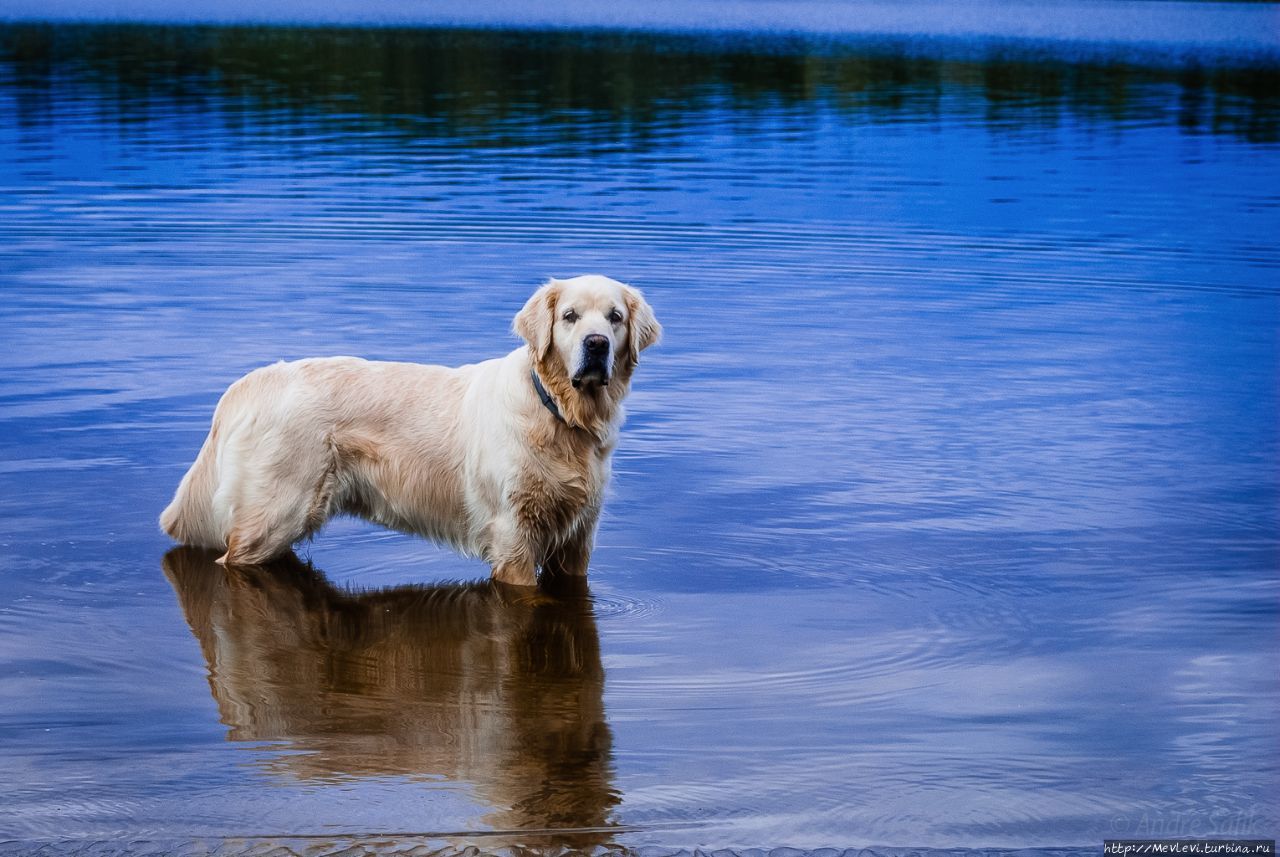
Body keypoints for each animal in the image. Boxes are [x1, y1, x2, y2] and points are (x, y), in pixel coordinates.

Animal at [158, 278, 660, 588]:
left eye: (614, 317)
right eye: (570, 316)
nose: (596, 345)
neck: (560, 415)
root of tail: (255, 379)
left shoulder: (577, 539)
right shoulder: (513, 537)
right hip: (274, 516)